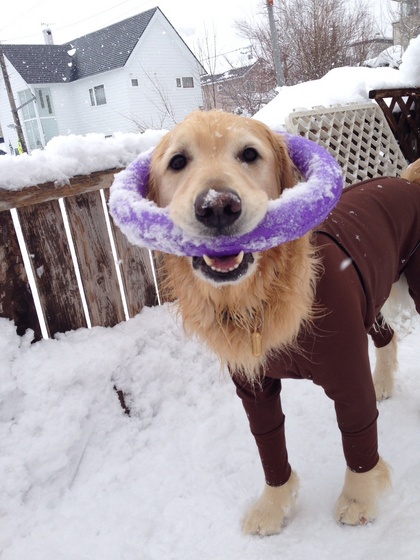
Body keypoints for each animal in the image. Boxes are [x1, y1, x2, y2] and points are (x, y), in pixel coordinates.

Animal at [147, 109, 420, 535]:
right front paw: (272, 508)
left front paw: (358, 500)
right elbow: (269, 445)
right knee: (387, 337)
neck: (260, 297)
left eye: (249, 153)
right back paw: (384, 385)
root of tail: (406, 181)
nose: (217, 206)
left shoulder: (348, 374)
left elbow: (358, 436)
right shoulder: (253, 388)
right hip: (371, 296)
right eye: (178, 161)